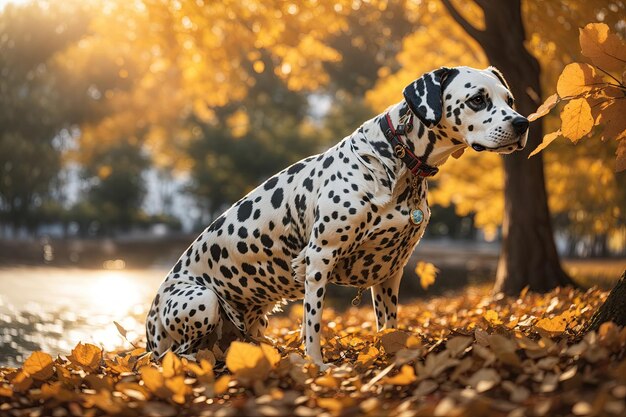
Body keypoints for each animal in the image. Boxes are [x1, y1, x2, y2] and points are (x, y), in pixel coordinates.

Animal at [146, 65, 528, 368]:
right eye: (477, 99)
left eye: (509, 100)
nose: (522, 123)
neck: (393, 158)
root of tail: (149, 328)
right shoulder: (319, 260)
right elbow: (313, 325)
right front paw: (317, 366)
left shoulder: (390, 273)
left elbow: (388, 324)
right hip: (202, 300)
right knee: (177, 354)